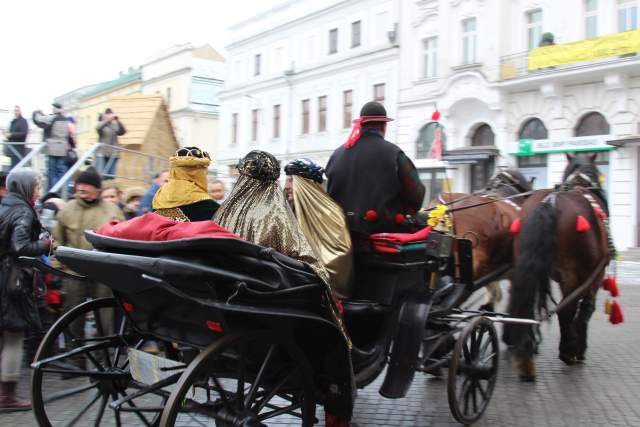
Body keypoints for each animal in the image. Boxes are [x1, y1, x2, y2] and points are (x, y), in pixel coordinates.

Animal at [504, 153, 608, 382]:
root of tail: (549, 201)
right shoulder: (595, 276)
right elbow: (585, 311)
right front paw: (579, 348)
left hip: (525, 264)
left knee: (524, 302)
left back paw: (524, 357)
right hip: (574, 273)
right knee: (566, 309)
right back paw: (567, 352)